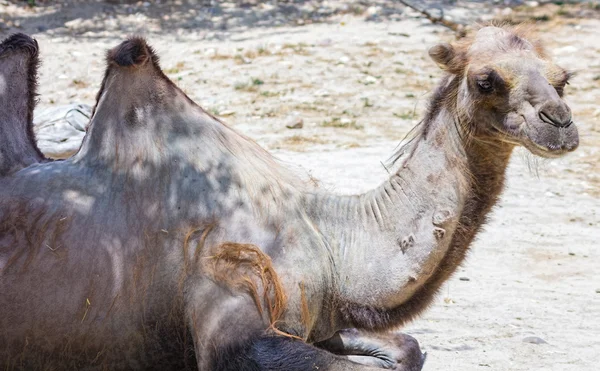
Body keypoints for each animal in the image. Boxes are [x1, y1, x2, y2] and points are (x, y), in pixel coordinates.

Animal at [0, 24, 580, 370]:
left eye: (564, 79)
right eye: (486, 81)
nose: (560, 124)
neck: (328, 234)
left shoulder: (320, 317)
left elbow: (408, 349)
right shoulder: (231, 307)